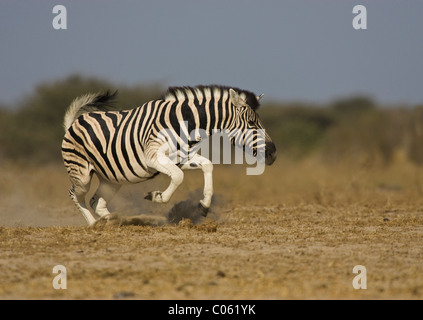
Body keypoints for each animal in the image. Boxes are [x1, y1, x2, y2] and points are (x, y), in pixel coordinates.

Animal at [60, 85, 278, 225]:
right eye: (252, 123)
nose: (273, 153)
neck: (185, 123)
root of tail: (74, 122)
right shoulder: (153, 156)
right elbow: (179, 177)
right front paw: (157, 196)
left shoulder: (181, 157)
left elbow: (207, 165)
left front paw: (204, 206)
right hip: (82, 174)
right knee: (74, 194)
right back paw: (93, 224)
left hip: (112, 178)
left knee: (96, 201)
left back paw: (110, 220)